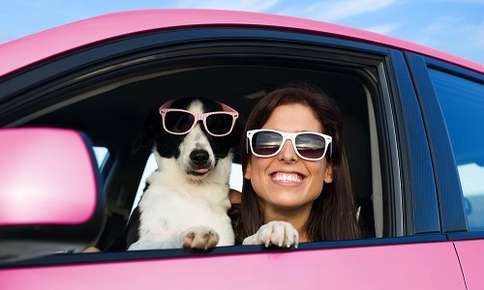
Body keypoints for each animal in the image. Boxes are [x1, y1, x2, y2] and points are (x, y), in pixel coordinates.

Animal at [126, 98, 240, 251]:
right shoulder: (134, 245)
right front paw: (191, 234)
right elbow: (164, 240)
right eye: (179, 127)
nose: (200, 156)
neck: (192, 190)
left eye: (215, 127)